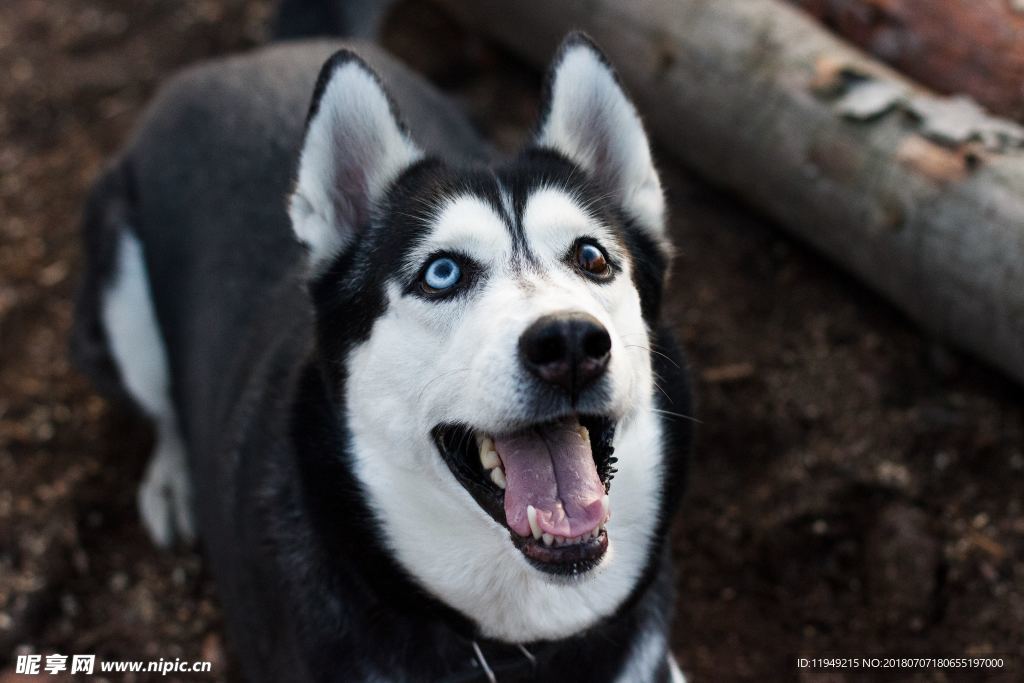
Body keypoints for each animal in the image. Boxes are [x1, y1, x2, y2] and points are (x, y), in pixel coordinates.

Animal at [74, 25, 696, 679]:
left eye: (592, 258)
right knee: (161, 405)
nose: (570, 342)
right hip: (118, 303)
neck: (519, 640)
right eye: (442, 273)